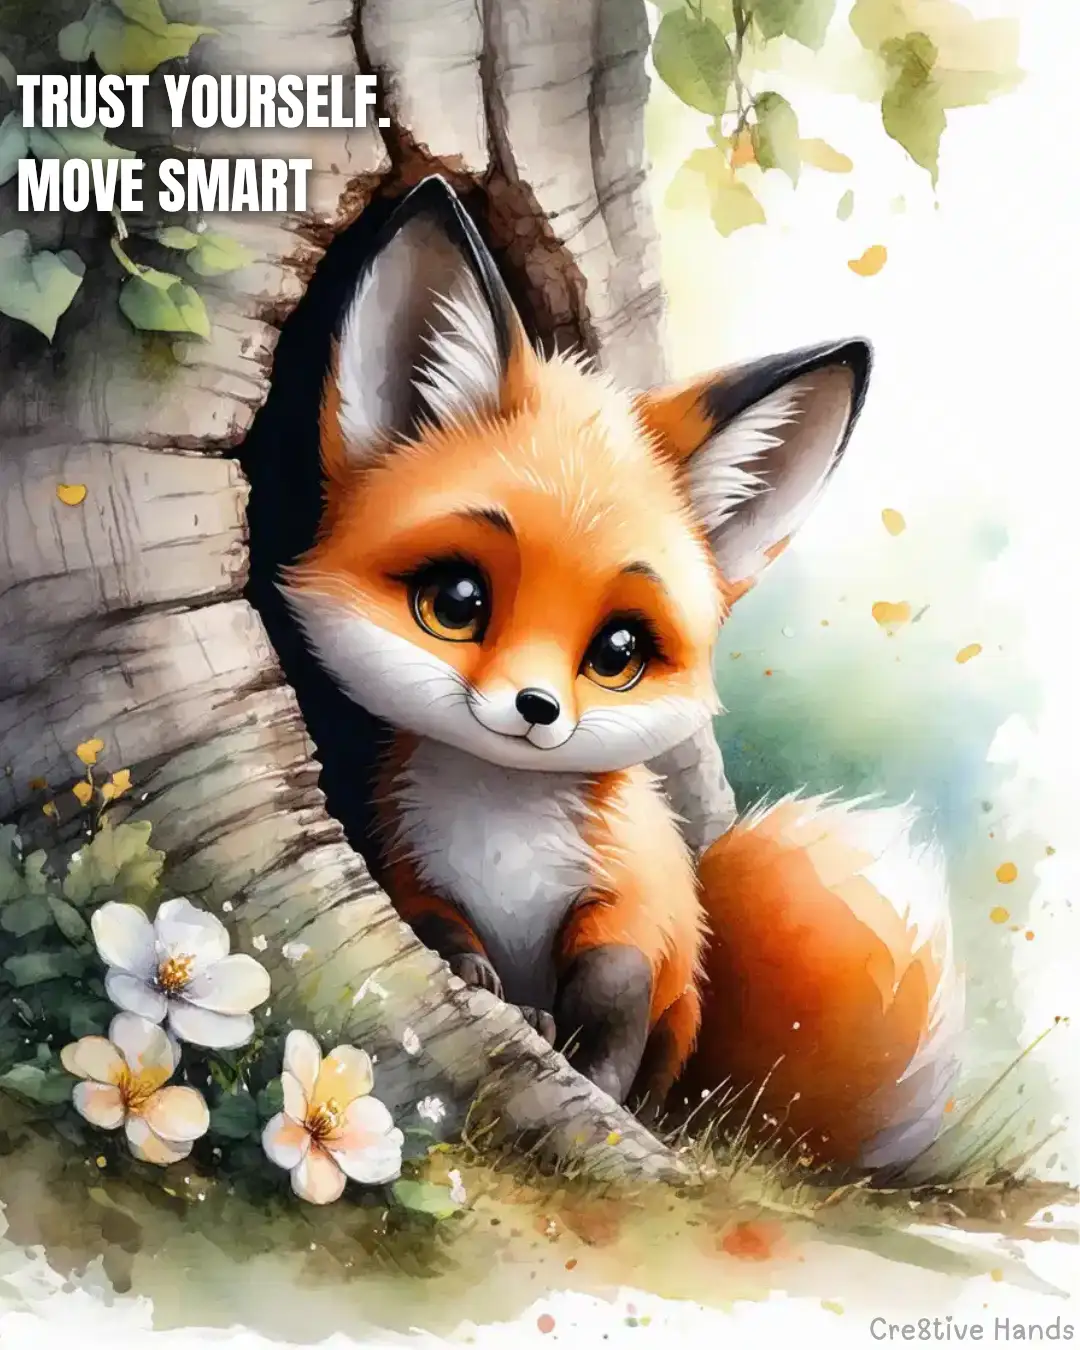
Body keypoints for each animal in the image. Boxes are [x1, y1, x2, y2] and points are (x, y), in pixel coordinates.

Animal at [282, 176, 962, 1173]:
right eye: (456, 601)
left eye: (617, 654)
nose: (534, 708)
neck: (504, 832)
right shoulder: (407, 865)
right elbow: (439, 925)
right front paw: (480, 975)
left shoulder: (633, 901)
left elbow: (614, 990)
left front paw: (594, 1087)